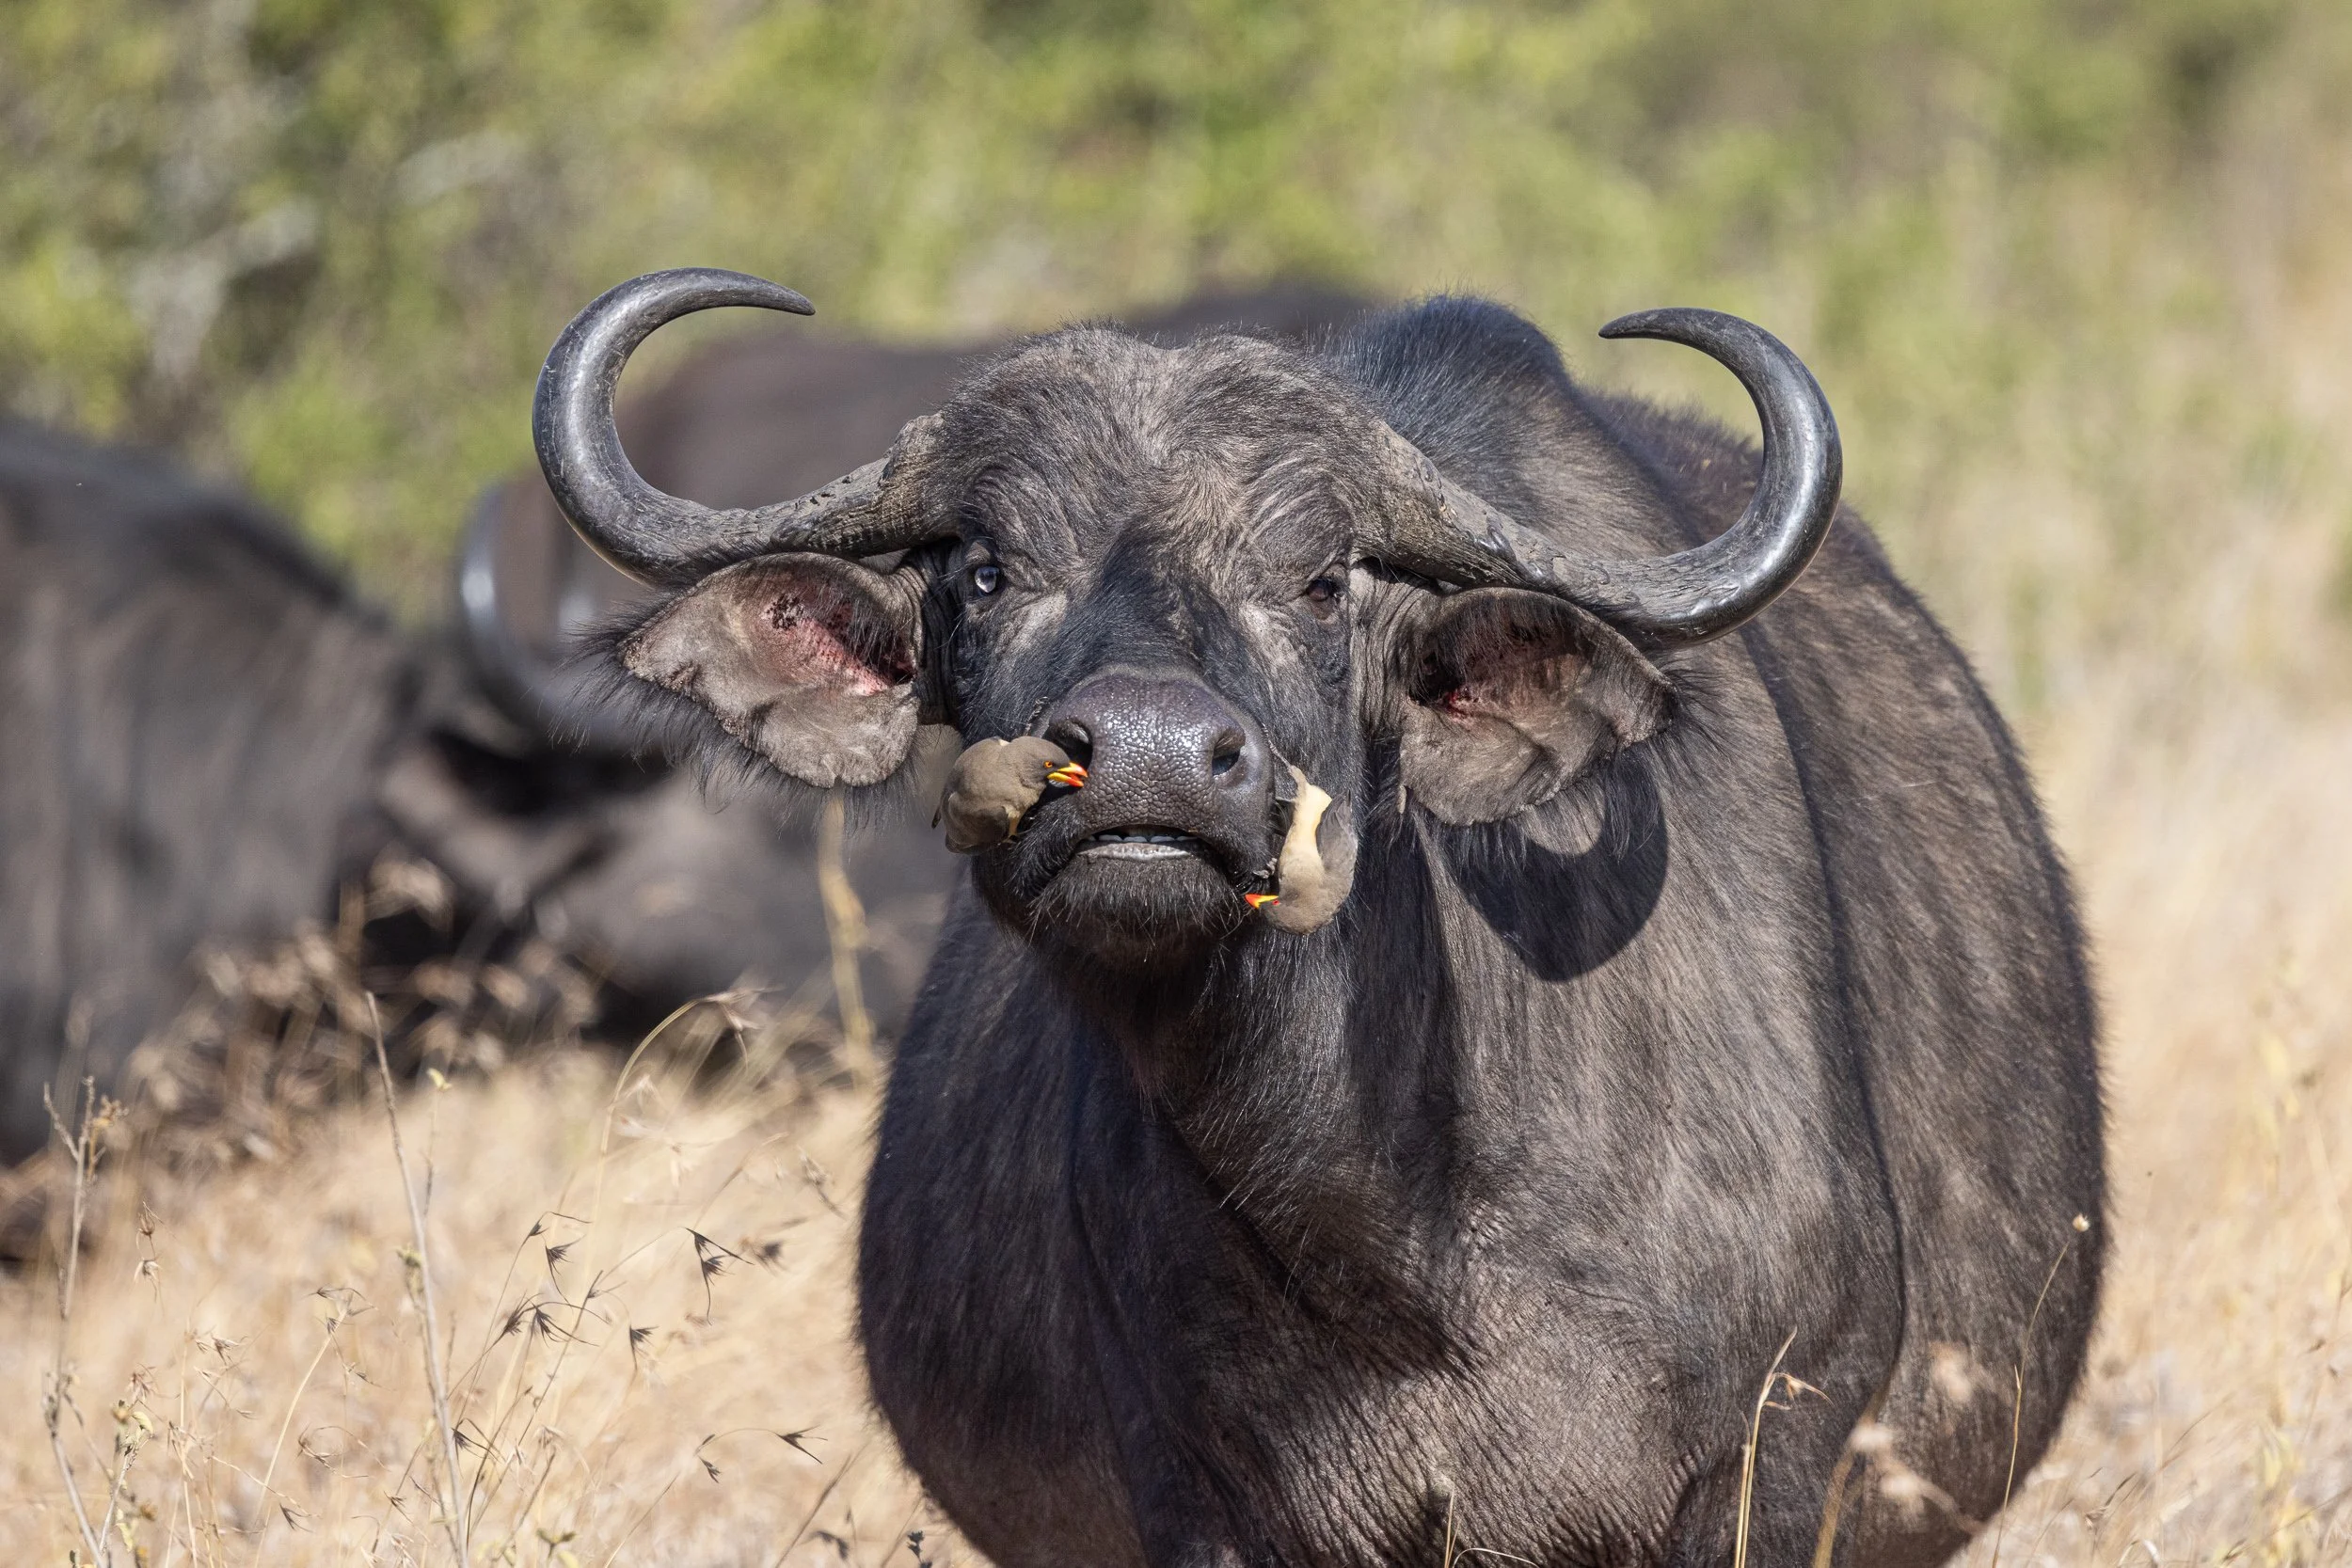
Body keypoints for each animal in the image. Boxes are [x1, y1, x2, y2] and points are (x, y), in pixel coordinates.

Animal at [535, 268, 2105, 1567]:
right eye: (984, 566)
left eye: (1322, 578)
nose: (1150, 756)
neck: (1407, 1236)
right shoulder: (1202, 1498)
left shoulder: (1774, 1471)